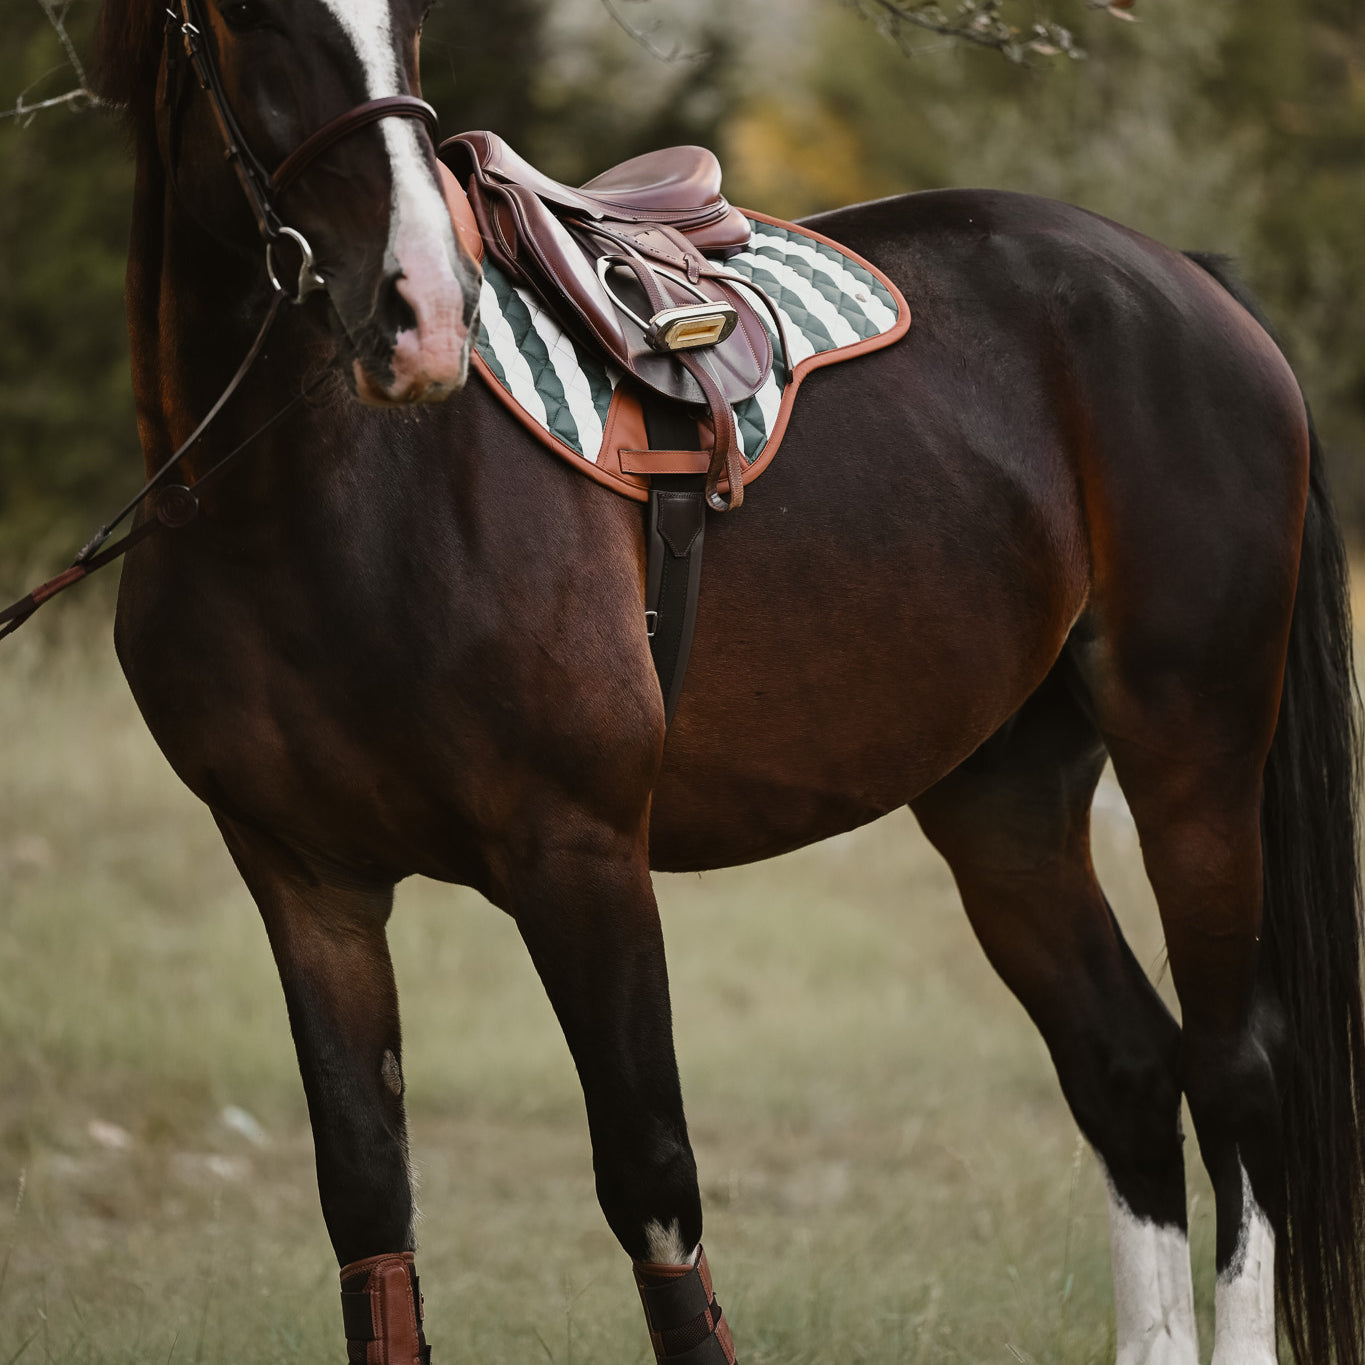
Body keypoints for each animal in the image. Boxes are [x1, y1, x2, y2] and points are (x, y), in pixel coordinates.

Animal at [86, 1, 1365, 1362]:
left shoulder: (580, 858)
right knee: (1123, 1064)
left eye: (415, 22)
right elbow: (371, 1207)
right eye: (252, 17)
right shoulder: (303, 882)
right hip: (1005, 798)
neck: (316, 507)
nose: (424, 309)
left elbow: (655, 1193)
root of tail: (1185, 280)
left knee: (1235, 1070)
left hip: (1195, 756)